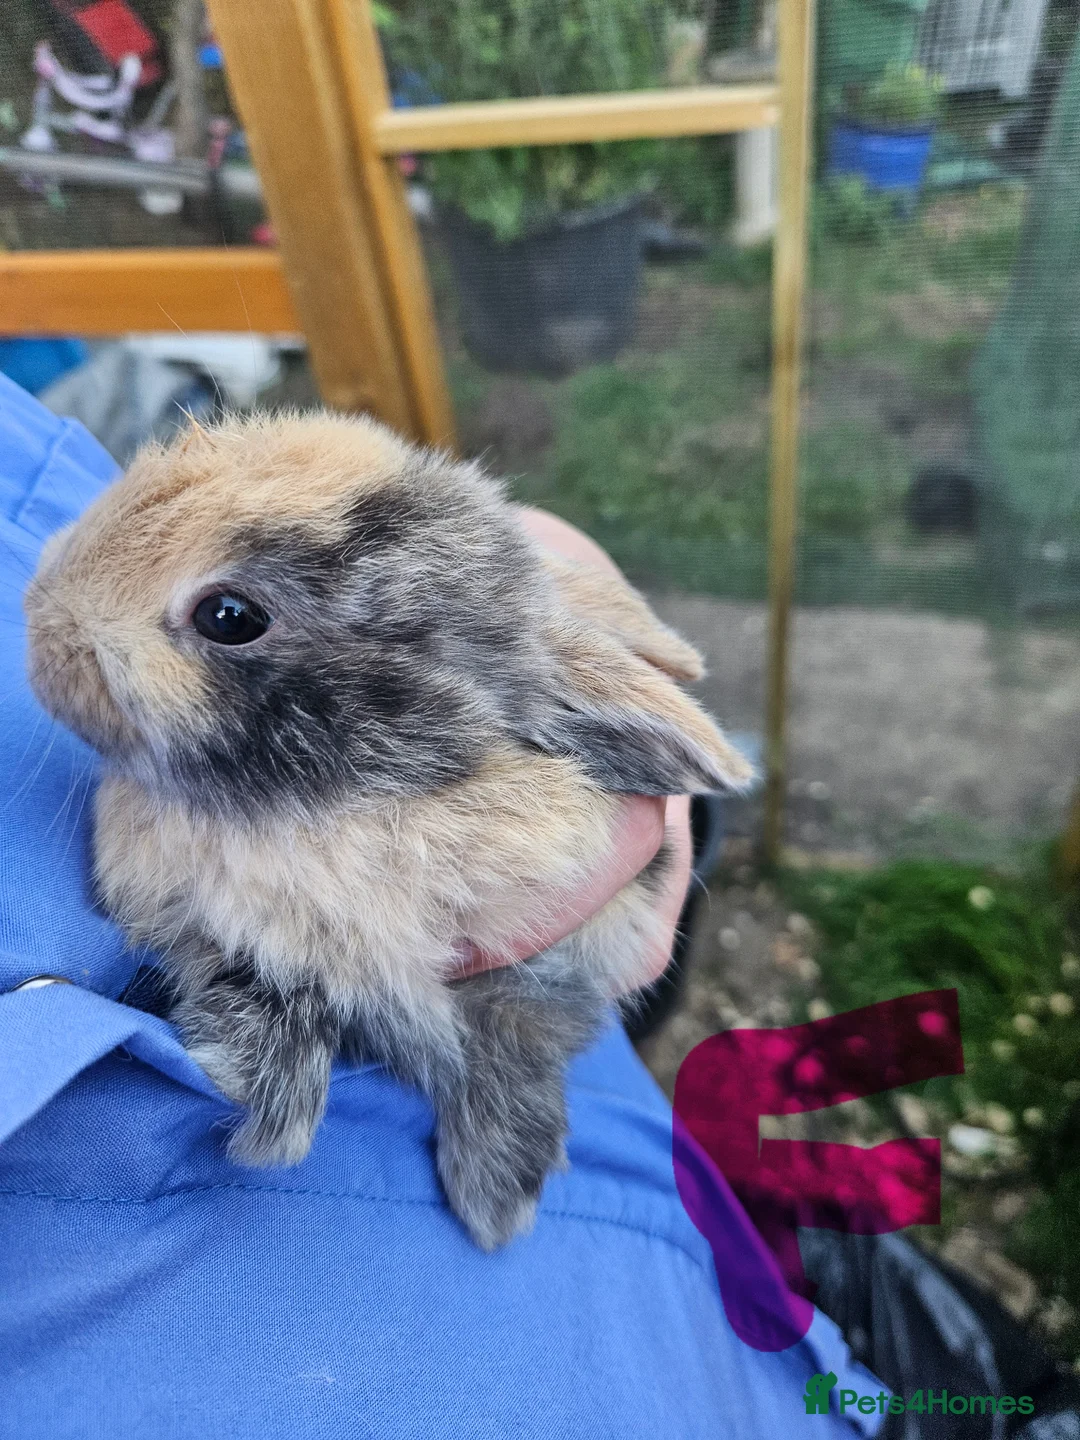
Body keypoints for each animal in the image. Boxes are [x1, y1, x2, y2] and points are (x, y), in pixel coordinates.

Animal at [24, 411, 754, 1250]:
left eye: (229, 616)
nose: (41, 609)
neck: (324, 801)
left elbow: (513, 1046)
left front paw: (494, 1200)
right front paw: (262, 1095)